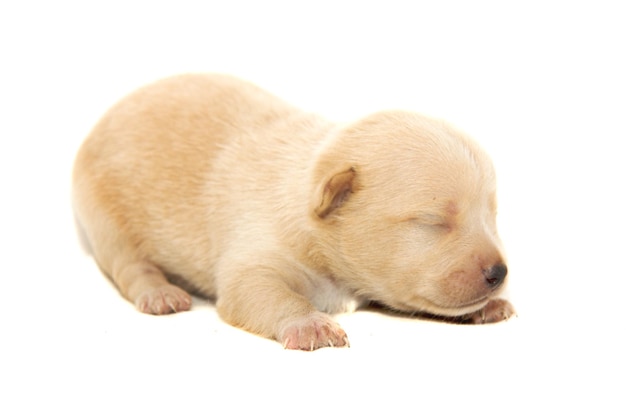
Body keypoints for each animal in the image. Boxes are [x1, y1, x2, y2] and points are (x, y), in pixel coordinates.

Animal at [72, 73, 512, 350]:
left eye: (492, 215)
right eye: (433, 222)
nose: (499, 273)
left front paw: (487, 306)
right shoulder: (256, 253)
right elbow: (258, 291)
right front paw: (309, 323)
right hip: (102, 214)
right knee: (129, 265)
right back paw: (160, 292)